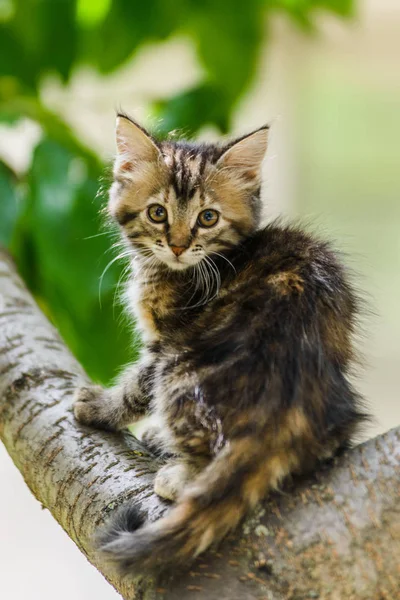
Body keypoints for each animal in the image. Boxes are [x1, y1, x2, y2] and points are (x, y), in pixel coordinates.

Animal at [73, 113, 368, 572]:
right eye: (157, 213)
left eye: (208, 218)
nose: (178, 245)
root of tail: (286, 406)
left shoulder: (167, 341)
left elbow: (137, 386)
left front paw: (100, 406)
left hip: (181, 369)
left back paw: (178, 473)